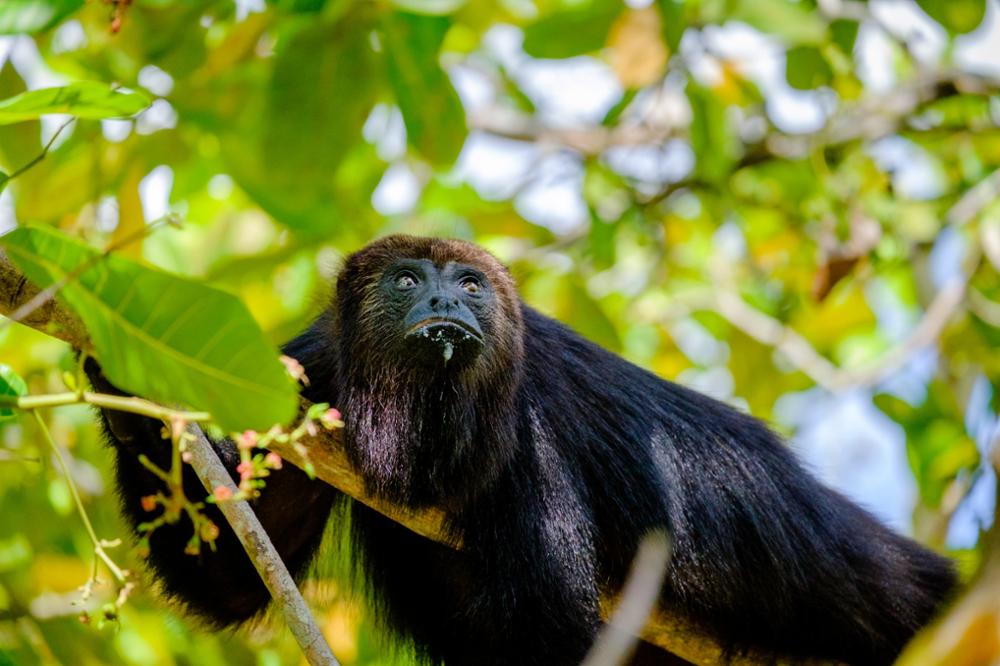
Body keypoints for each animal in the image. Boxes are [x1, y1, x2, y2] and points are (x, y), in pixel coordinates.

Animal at [90, 235, 956, 664]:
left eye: (469, 285)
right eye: (408, 281)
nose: (445, 298)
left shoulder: (532, 438)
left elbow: (547, 631)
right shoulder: (309, 380)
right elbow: (231, 576)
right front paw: (126, 387)